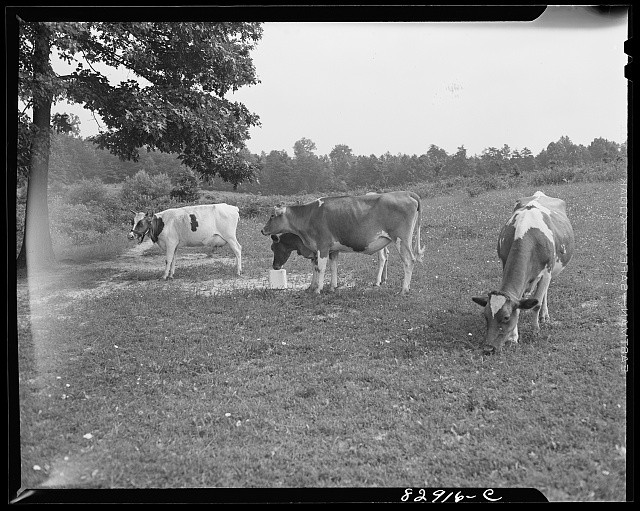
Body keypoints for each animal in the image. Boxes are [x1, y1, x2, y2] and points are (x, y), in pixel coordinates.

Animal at [260, 191, 424, 294]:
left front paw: (317, 290)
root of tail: (406, 193)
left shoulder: (322, 246)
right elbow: (333, 267)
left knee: (408, 261)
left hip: (401, 239)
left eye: (272, 215)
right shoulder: (332, 250)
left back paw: (403, 289)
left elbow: (320, 268)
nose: (262, 230)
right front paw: (332, 287)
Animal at [472, 191, 574, 353]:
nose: (488, 348)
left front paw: (535, 331)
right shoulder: (505, 264)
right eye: (486, 316)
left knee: (543, 294)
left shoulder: (547, 272)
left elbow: (536, 304)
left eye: (506, 318)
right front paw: (514, 338)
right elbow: (519, 304)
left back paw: (544, 316)